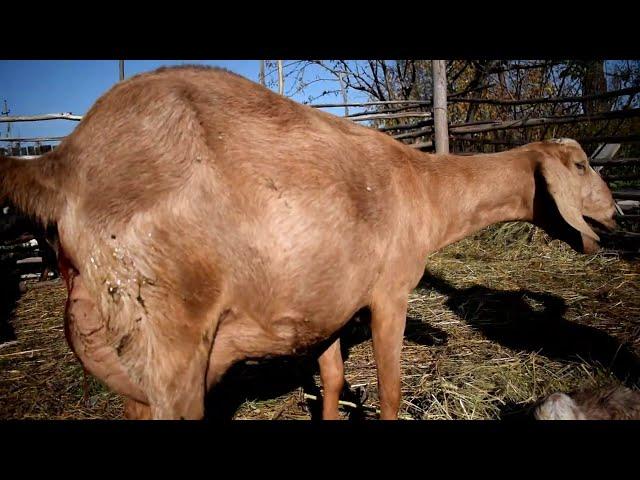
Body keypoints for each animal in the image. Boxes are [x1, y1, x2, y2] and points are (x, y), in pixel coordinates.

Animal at [0, 65, 620, 418]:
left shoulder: (328, 305)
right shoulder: (388, 293)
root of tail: (61, 166)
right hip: (172, 340)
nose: (615, 214)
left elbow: (334, 381)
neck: (422, 188)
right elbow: (390, 391)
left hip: (119, 345)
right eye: (582, 164)